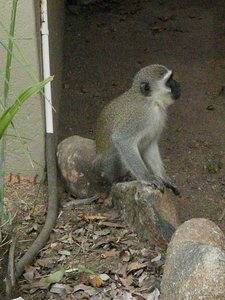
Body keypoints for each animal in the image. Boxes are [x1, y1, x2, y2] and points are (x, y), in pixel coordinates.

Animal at [94, 64, 181, 196]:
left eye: (172, 78)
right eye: (169, 81)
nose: (178, 84)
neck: (151, 102)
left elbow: (149, 144)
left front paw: (164, 177)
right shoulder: (140, 116)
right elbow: (122, 140)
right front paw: (147, 178)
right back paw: (121, 179)